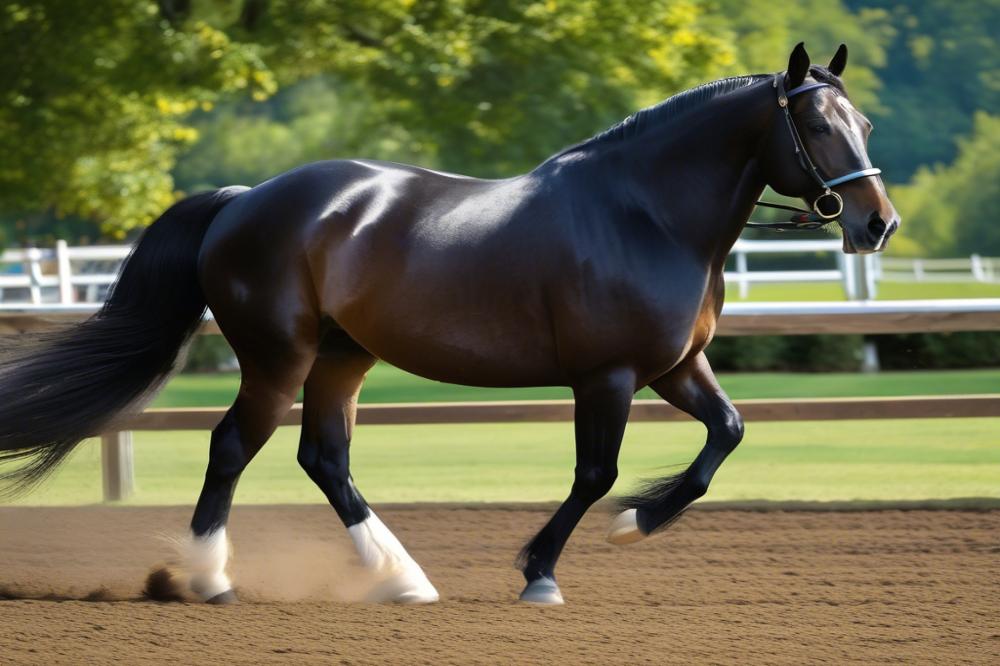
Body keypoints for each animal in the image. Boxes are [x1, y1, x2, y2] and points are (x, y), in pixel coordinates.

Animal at [0, 41, 900, 600]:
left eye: (864, 124)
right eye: (815, 125)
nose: (877, 224)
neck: (644, 214)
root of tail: (243, 200)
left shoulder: (677, 368)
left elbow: (726, 437)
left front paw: (635, 524)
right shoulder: (606, 377)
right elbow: (594, 473)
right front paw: (542, 571)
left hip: (343, 359)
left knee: (324, 458)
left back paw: (400, 579)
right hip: (277, 357)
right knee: (232, 448)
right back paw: (210, 579)